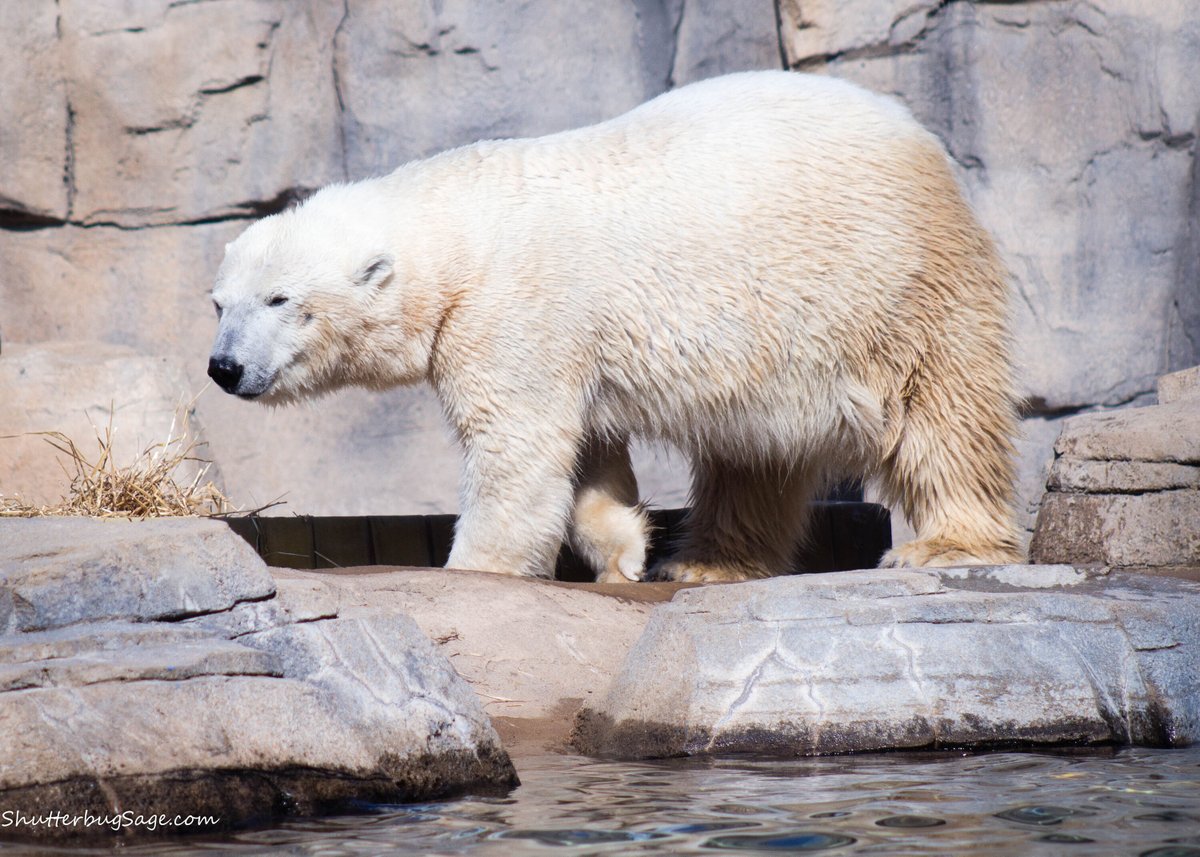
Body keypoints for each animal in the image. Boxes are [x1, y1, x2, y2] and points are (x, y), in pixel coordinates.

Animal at [208, 70, 1023, 583]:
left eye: (279, 299)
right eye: (219, 302)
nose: (224, 367)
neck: (461, 230)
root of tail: (920, 137)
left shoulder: (514, 310)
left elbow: (516, 447)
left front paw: (475, 567)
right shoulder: (570, 339)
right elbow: (588, 453)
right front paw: (626, 550)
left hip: (896, 284)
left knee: (942, 412)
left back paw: (945, 546)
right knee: (754, 452)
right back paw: (704, 560)